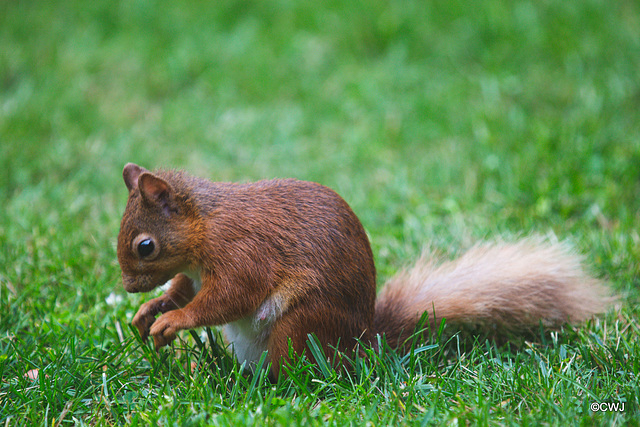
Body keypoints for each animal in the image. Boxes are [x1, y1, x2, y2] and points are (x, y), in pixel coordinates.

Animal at [117, 164, 612, 378]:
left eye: (146, 246)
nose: (128, 286)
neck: (206, 225)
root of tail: (359, 348)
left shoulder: (244, 253)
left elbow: (228, 298)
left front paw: (173, 320)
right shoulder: (196, 271)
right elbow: (184, 287)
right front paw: (152, 309)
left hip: (301, 326)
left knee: (293, 375)